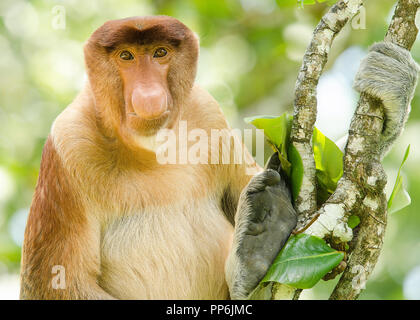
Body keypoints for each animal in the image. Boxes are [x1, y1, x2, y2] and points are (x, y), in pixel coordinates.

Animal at [20, 16, 420, 298]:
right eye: (126, 57)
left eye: (160, 54)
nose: (148, 94)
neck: (149, 149)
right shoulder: (69, 146)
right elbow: (58, 285)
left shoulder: (206, 114)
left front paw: (392, 88)